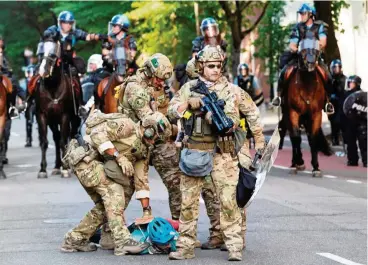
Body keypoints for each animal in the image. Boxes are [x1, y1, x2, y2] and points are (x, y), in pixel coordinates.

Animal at [33, 41, 80, 177]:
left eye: (53, 55)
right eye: (41, 53)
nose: (42, 71)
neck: (53, 88)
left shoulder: (65, 116)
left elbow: (63, 141)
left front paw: (65, 168)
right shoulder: (42, 116)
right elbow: (44, 142)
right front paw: (42, 170)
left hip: (74, 119)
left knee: (70, 135)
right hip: (53, 122)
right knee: (56, 137)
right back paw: (56, 166)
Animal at [284, 37, 328, 177]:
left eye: (316, 49)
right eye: (302, 49)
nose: (310, 63)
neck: (307, 85)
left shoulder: (316, 114)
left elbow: (313, 139)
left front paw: (316, 167)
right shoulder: (293, 113)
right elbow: (296, 138)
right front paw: (297, 163)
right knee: (293, 137)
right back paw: (296, 162)